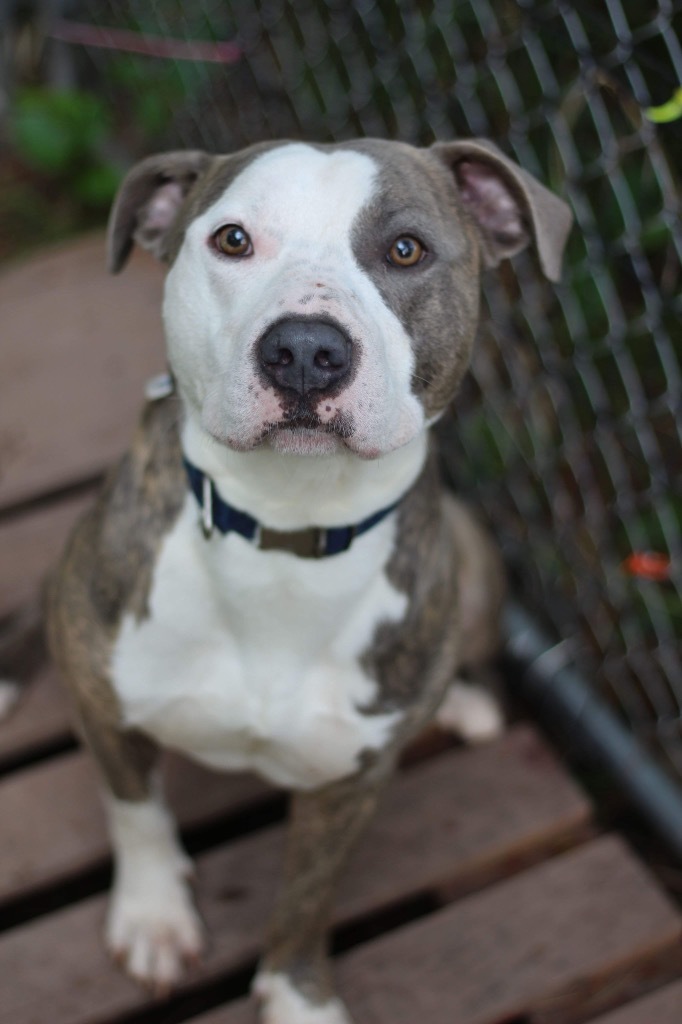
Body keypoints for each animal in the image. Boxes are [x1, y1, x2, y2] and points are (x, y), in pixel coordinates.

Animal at [45, 140, 569, 1024]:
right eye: (232, 240)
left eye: (406, 249)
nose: (303, 351)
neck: (285, 534)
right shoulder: (102, 699)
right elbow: (136, 812)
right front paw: (154, 916)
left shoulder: (350, 785)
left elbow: (309, 895)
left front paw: (298, 998)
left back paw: (465, 700)